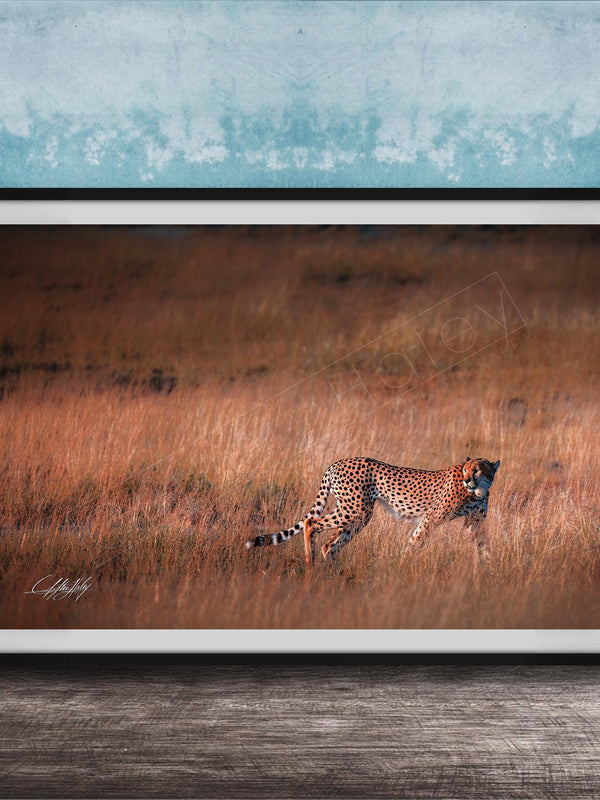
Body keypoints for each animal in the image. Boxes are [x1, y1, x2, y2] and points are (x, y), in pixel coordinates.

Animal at [246, 456, 500, 566]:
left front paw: (490, 570)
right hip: (355, 510)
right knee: (311, 524)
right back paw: (310, 564)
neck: (478, 491)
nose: (467, 480)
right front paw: (401, 566)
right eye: (465, 470)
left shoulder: (475, 522)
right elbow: (415, 542)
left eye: (477, 470)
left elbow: (484, 546)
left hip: (356, 515)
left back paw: (333, 575)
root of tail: (337, 462)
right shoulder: (430, 518)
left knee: (330, 544)